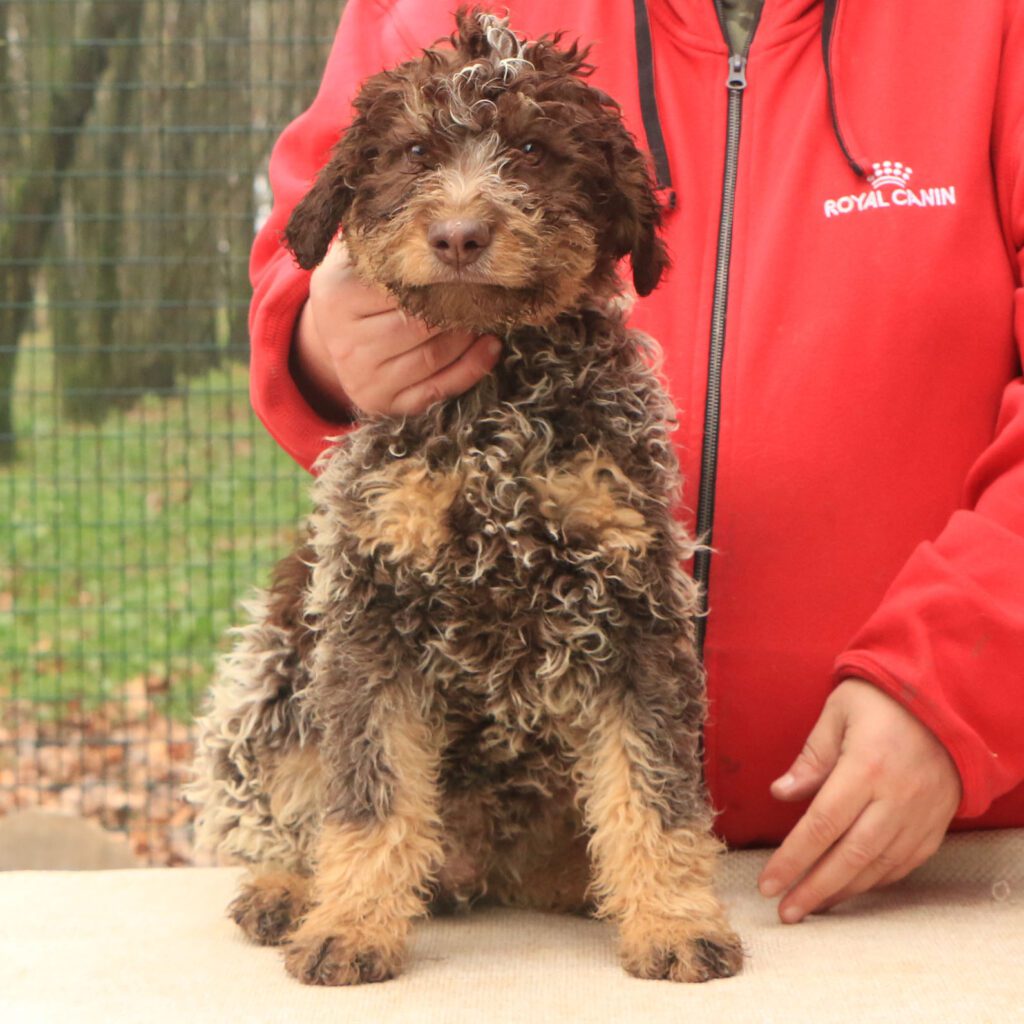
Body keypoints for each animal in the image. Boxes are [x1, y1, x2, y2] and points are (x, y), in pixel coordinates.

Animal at [188, 6, 741, 983]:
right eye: (414, 151)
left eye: (531, 148)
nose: (457, 236)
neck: (495, 418)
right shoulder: (371, 611)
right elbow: (368, 793)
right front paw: (350, 923)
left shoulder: (634, 606)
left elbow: (653, 789)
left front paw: (674, 919)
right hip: (281, 664)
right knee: (288, 796)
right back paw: (289, 888)